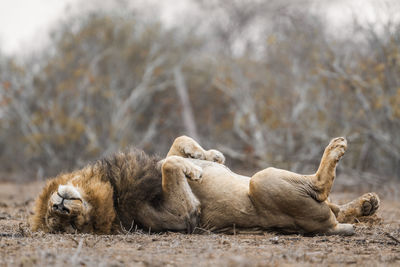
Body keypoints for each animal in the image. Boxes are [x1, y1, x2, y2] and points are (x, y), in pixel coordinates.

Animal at [30, 137, 378, 236]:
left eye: (53, 211)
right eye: (62, 222)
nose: (61, 205)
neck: (110, 191)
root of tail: (327, 228)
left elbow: (175, 145)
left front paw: (207, 155)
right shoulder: (184, 215)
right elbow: (170, 164)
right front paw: (195, 170)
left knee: (337, 206)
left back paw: (367, 204)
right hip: (263, 179)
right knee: (321, 189)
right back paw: (335, 150)